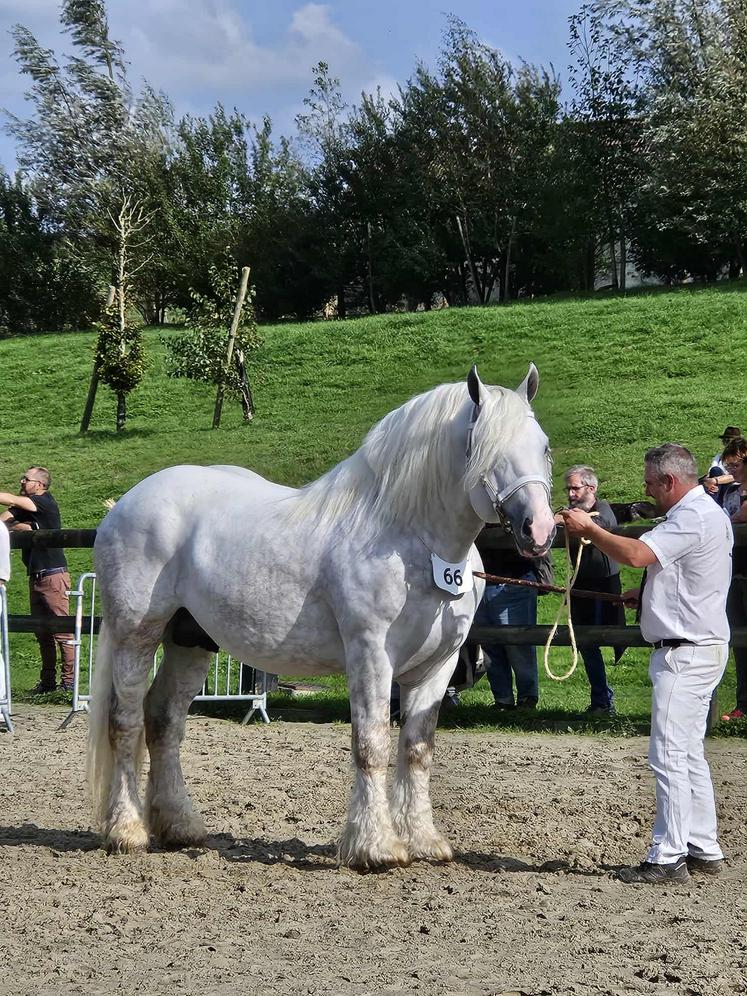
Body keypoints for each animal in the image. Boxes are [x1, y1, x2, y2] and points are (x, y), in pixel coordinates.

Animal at [87, 364, 555, 870]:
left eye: (543, 446)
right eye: (488, 449)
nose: (540, 530)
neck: (409, 540)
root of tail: (124, 504)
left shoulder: (438, 666)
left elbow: (417, 750)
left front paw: (424, 841)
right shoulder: (371, 654)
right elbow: (371, 743)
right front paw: (376, 847)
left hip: (190, 641)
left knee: (164, 719)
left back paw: (180, 827)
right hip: (136, 635)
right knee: (125, 722)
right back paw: (128, 831)